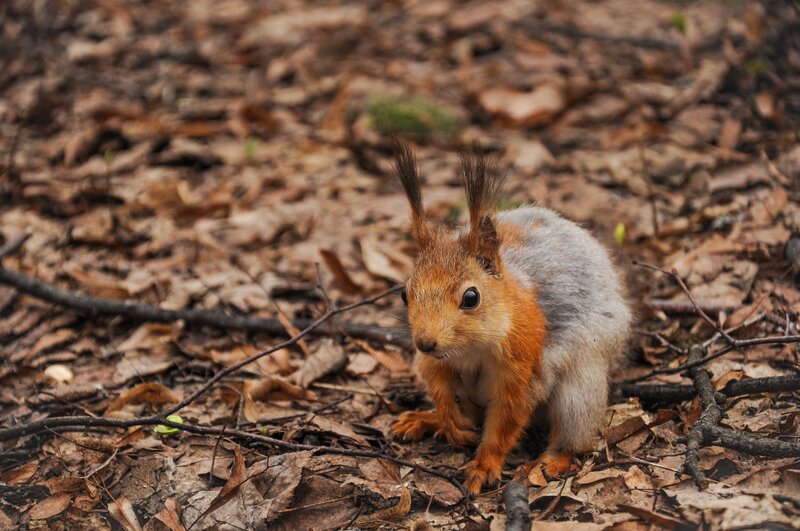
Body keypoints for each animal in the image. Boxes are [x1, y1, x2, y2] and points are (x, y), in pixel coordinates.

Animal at [390, 142, 632, 495]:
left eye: (471, 297)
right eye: (404, 293)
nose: (425, 342)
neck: (471, 347)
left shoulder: (523, 367)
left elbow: (506, 419)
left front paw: (484, 466)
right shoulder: (434, 362)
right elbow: (437, 383)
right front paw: (446, 419)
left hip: (580, 387)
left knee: (575, 432)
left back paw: (553, 460)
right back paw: (426, 419)